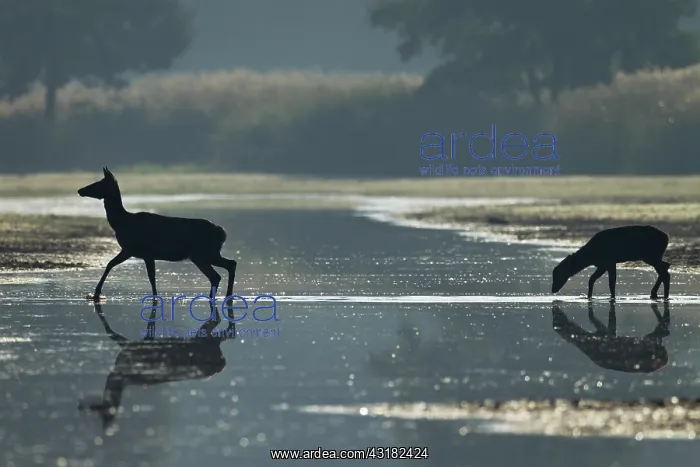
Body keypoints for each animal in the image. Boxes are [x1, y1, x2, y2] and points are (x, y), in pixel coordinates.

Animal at [78, 167, 238, 313]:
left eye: (99, 183)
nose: (80, 190)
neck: (121, 222)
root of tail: (222, 232)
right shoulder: (138, 252)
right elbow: (116, 265)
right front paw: (95, 294)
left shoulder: (137, 250)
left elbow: (144, 274)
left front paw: (96, 294)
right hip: (201, 255)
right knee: (220, 272)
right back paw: (222, 297)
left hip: (206, 253)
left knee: (226, 268)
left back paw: (222, 298)